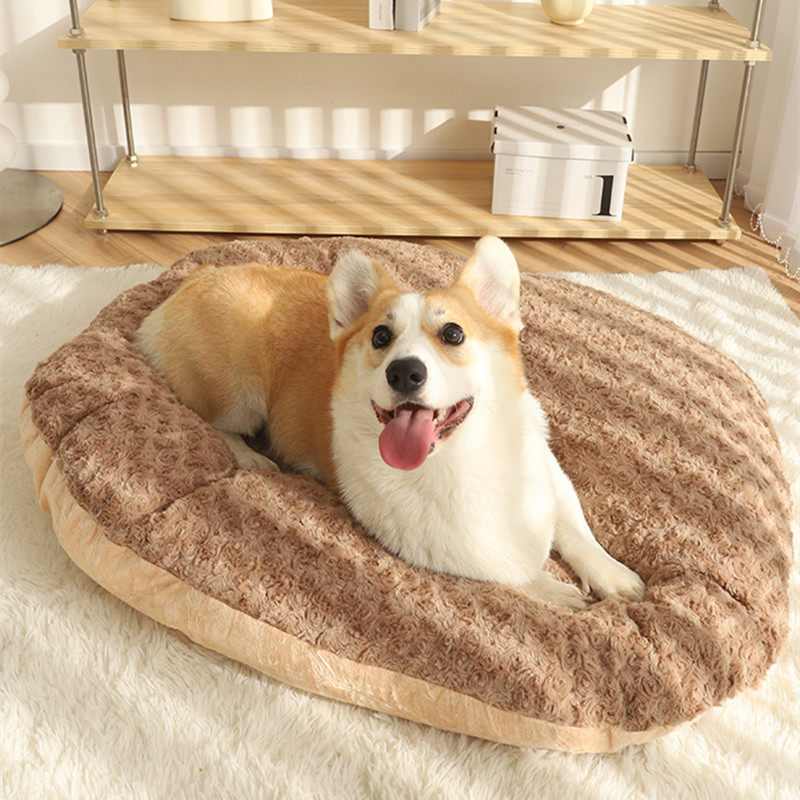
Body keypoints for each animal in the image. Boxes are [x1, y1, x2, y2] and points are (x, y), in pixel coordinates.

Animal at [135, 236, 645, 609]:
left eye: (453, 333)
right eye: (381, 336)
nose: (404, 372)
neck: (461, 456)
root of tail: (196, 278)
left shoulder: (553, 477)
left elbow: (577, 530)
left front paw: (616, 578)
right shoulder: (427, 545)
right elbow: (505, 571)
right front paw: (557, 592)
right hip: (239, 392)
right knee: (217, 421)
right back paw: (250, 456)